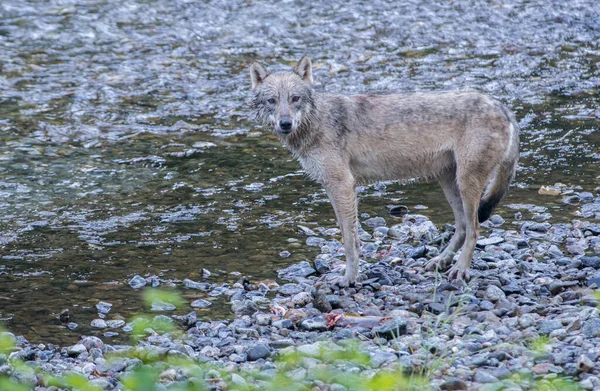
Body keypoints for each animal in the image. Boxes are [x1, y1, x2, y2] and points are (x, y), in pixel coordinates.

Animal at [246, 55, 516, 288]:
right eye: (272, 101)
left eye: (295, 98)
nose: (285, 123)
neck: (317, 121)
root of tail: (501, 106)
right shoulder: (332, 187)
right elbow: (349, 236)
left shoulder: (343, 184)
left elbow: (349, 240)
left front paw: (349, 278)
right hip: (449, 183)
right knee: (461, 227)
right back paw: (440, 261)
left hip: (466, 184)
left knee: (474, 229)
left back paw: (460, 269)